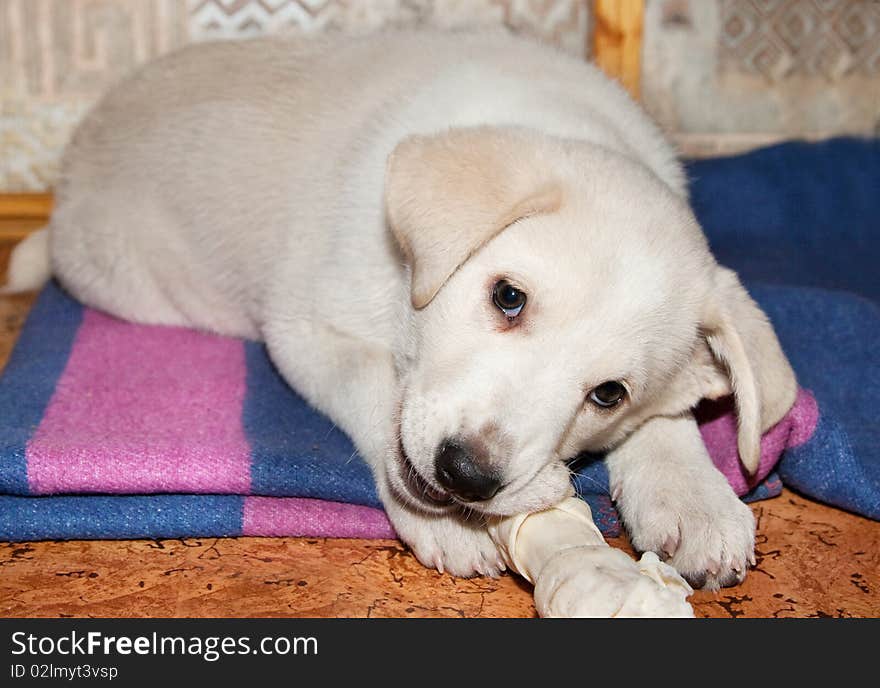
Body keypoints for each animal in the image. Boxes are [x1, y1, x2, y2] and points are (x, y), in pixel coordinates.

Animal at [5, 29, 796, 588]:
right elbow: (375, 385)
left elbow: (669, 419)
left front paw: (692, 498)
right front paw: (451, 524)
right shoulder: (305, 331)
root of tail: (64, 193)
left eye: (608, 394)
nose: (467, 476)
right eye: (508, 297)